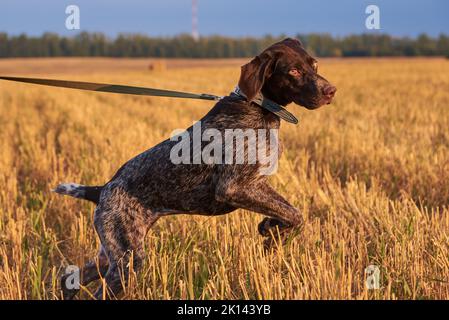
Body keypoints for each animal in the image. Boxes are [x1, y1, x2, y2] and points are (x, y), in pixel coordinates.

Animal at [56, 38, 334, 300]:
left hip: (112, 251)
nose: (331, 91)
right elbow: (295, 214)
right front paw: (273, 238)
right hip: (127, 261)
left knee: (69, 279)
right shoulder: (236, 187)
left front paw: (269, 228)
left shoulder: (256, 186)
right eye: (294, 71)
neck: (258, 106)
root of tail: (102, 189)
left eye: (314, 64)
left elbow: (288, 212)